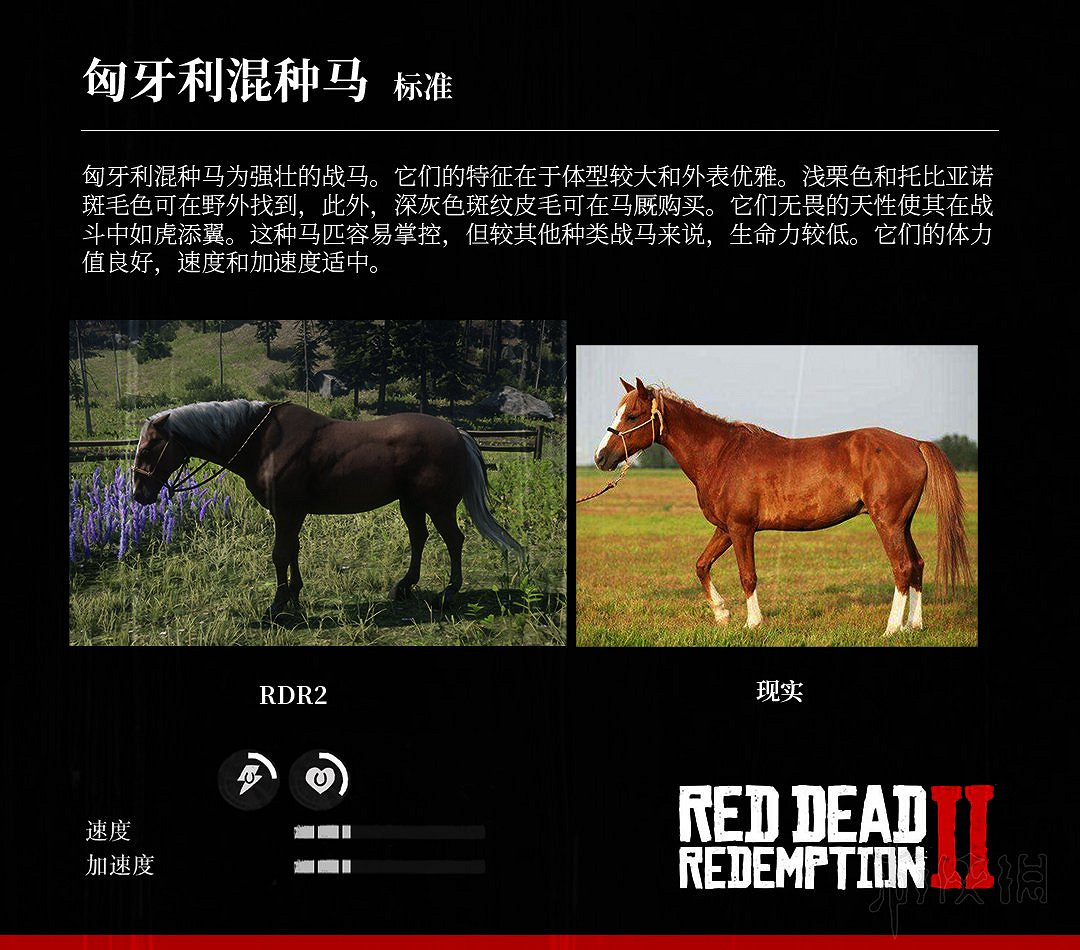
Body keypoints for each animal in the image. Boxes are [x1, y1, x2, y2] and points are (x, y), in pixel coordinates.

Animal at [131, 400, 523, 620]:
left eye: (149, 449)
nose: (138, 494)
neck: (262, 442)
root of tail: (457, 433)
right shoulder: (289, 514)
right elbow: (291, 552)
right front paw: (294, 595)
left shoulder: (287, 511)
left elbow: (280, 554)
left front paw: (277, 605)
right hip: (411, 503)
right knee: (419, 538)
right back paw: (405, 586)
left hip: (438, 505)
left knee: (454, 540)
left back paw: (449, 593)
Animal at [593, 378, 970, 635]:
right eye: (617, 412)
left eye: (633, 415)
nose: (600, 457)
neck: (722, 455)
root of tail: (914, 443)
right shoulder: (725, 529)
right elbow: (701, 565)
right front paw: (722, 614)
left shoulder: (742, 528)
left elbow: (747, 576)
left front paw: (753, 623)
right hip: (903, 524)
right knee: (917, 565)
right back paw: (914, 625)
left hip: (888, 523)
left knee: (903, 568)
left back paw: (892, 629)